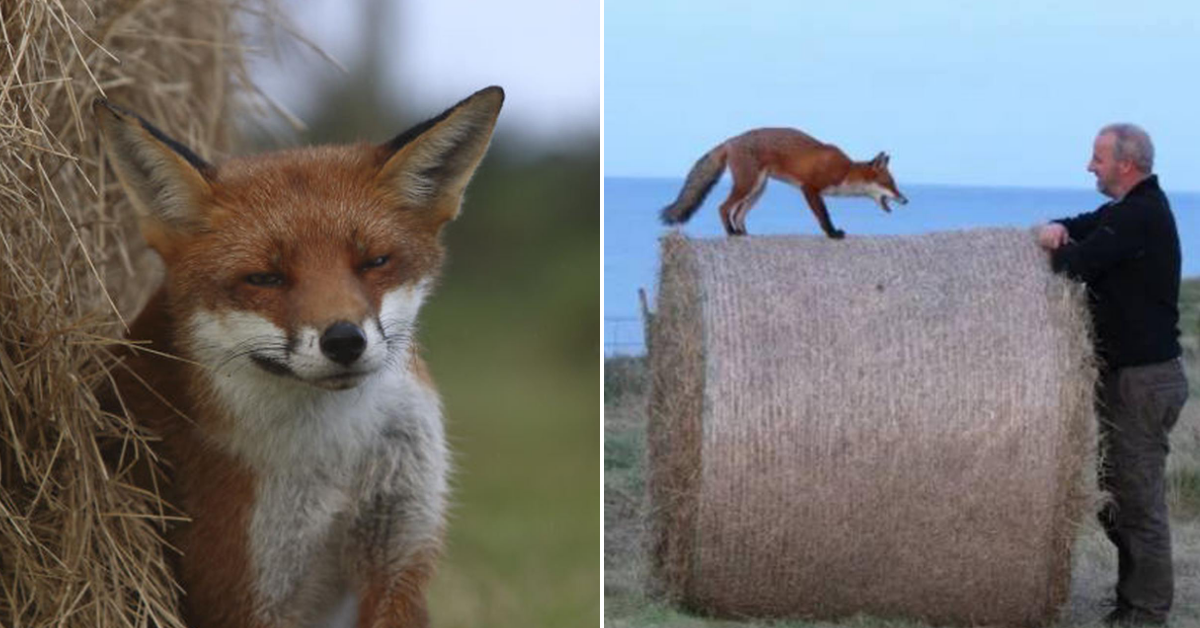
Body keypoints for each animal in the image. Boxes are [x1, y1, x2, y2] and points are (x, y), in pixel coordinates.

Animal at [94, 87, 501, 628]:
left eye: (374, 262)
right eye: (265, 278)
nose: (345, 341)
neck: (337, 454)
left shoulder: (399, 556)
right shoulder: (242, 590)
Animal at [657, 127, 907, 238]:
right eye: (890, 184)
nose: (905, 200)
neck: (845, 170)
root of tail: (730, 140)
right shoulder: (810, 188)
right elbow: (823, 216)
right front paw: (832, 233)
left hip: (758, 189)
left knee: (738, 213)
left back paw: (744, 233)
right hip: (748, 185)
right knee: (723, 208)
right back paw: (731, 233)